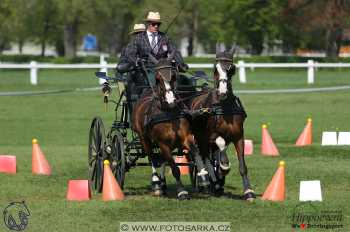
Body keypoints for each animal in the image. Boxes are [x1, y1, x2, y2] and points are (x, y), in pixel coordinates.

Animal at [131, 54, 208, 199]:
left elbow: (195, 152)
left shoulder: (186, 138)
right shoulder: (163, 144)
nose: (171, 100)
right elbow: (174, 168)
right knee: (152, 157)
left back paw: (162, 183)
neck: (168, 113)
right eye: (158, 78)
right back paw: (156, 183)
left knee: (162, 160)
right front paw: (182, 191)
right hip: (144, 138)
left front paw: (203, 176)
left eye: (173, 76)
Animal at [190, 47, 256, 201]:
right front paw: (224, 167)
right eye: (215, 68)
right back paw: (206, 182)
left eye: (231, 69)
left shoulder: (239, 136)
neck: (224, 108)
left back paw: (217, 184)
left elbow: (242, 166)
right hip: (199, 138)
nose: (222, 92)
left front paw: (248, 191)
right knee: (203, 158)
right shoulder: (211, 136)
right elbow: (221, 144)